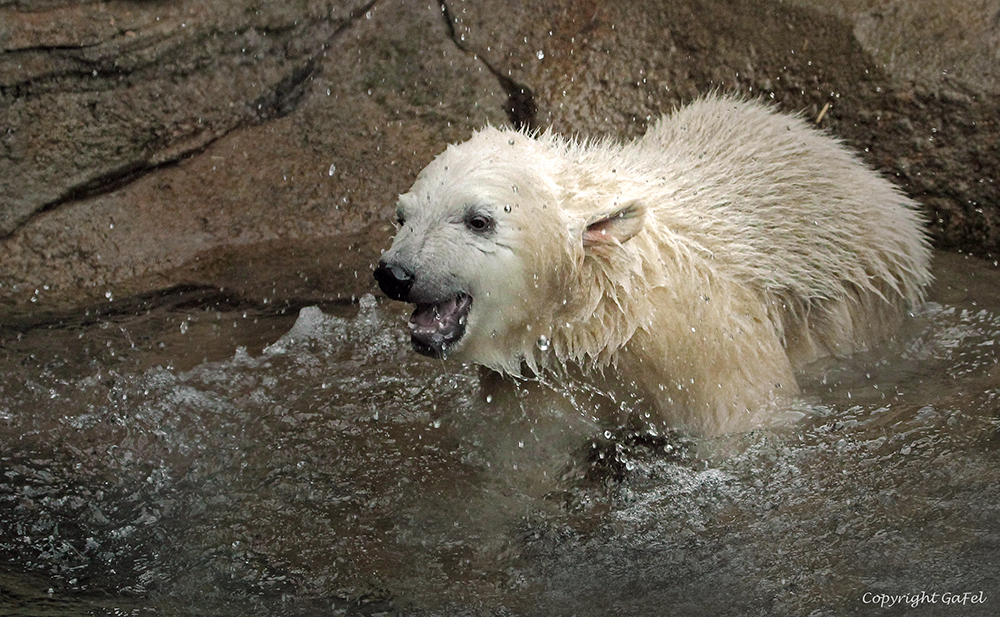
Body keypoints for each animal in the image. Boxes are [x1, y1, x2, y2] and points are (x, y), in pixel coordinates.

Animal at [374, 96, 928, 434]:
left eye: (479, 220)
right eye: (402, 214)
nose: (395, 275)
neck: (606, 313)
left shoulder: (706, 342)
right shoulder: (543, 379)